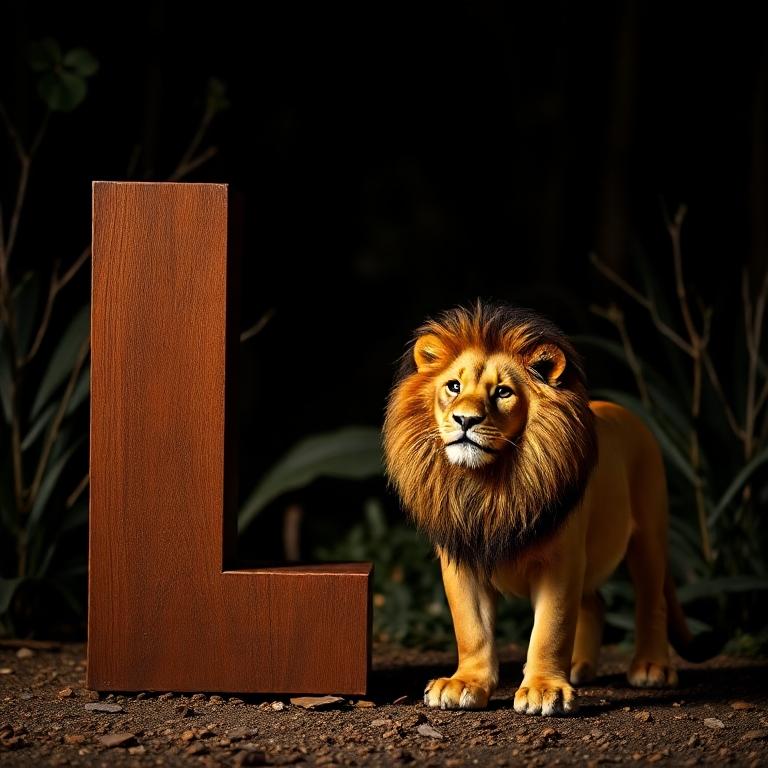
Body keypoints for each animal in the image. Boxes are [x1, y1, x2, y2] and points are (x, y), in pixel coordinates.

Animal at [383, 302, 705, 716]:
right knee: (595, 602)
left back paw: (650, 667)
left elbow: (551, 629)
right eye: (453, 386)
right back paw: (580, 667)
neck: (489, 485)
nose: (465, 419)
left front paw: (543, 689)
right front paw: (465, 684)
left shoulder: (560, 562)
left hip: (649, 537)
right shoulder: (461, 560)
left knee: (652, 602)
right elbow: (471, 629)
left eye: (503, 392)